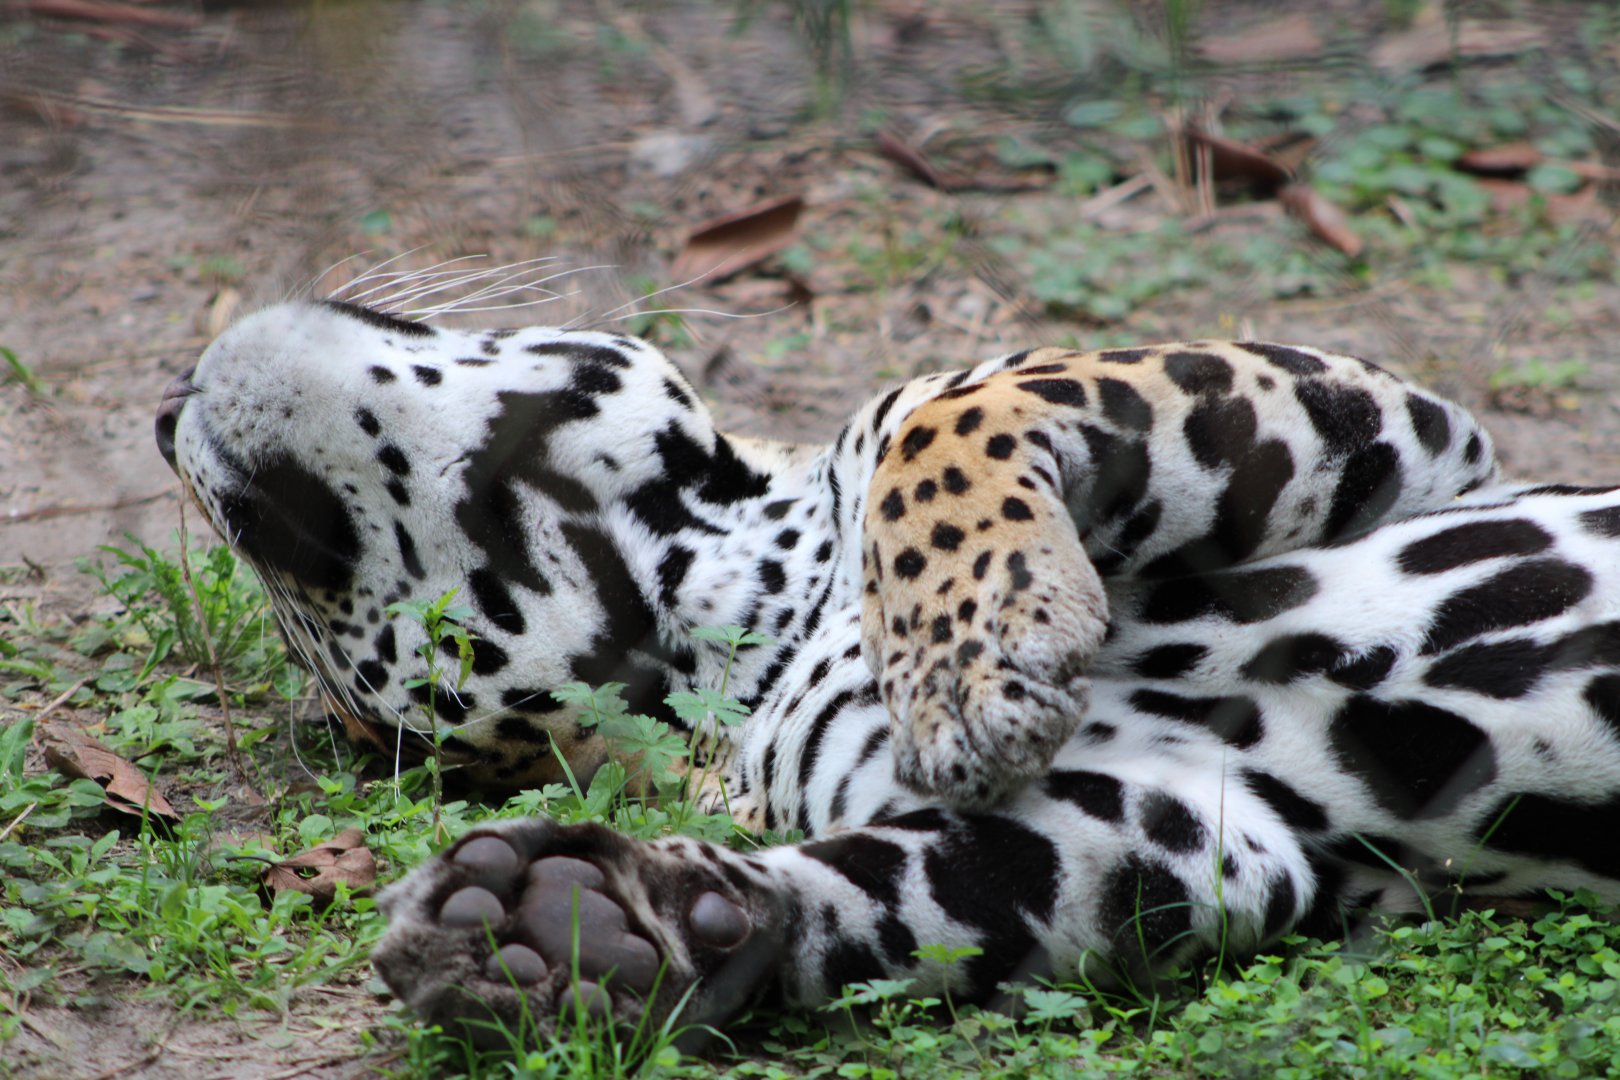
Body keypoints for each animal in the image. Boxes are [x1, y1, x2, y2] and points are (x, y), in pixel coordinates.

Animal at [156, 295, 1620, 1047]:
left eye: (286, 564)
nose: (168, 421)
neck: (741, 603)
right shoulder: (1200, 828)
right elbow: (907, 892)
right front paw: (566, 927)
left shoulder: (1404, 429)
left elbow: (952, 414)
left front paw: (973, 662)